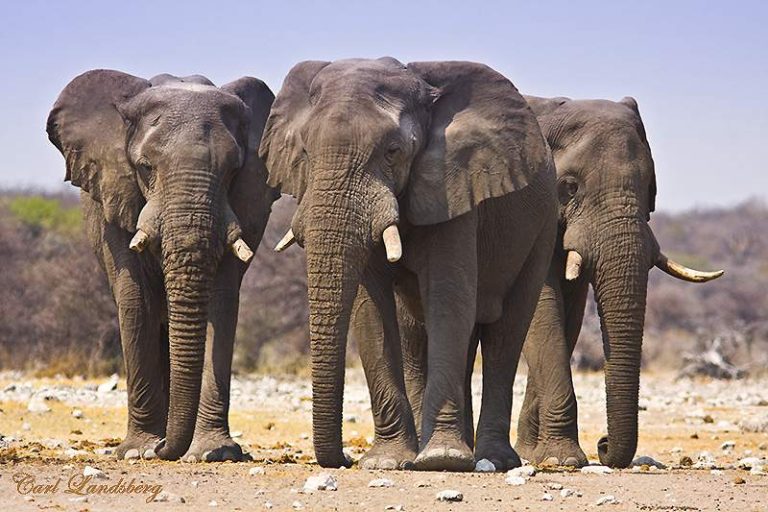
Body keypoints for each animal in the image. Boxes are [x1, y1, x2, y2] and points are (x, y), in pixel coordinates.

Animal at [47, 70, 278, 461]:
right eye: (145, 167)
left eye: (232, 170)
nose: (162, 449)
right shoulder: (115, 195)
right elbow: (136, 299)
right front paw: (138, 451)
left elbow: (221, 300)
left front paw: (212, 453)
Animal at [260, 57, 558, 471]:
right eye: (304, 151)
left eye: (393, 151)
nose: (344, 459)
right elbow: (371, 309)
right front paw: (387, 462)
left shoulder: (453, 181)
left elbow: (448, 299)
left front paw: (443, 459)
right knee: (417, 334)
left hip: (542, 225)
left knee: (506, 331)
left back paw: (491, 459)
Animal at [514, 95, 724, 468]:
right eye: (569, 187)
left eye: (651, 187)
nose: (603, 444)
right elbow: (543, 309)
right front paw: (562, 460)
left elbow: (568, 317)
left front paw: (536, 455)